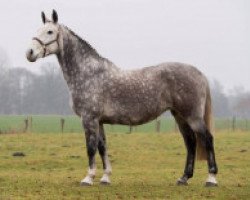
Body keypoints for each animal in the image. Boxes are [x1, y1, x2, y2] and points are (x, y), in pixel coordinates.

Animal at [25, 10, 217, 187]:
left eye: (50, 31)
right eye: (38, 30)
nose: (29, 53)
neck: (88, 73)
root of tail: (199, 73)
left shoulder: (89, 118)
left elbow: (90, 148)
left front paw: (88, 178)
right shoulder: (99, 121)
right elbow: (102, 147)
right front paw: (105, 177)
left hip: (192, 116)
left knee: (207, 139)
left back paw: (211, 178)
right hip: (180, 116)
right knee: (190, 142)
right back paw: (184, 178)